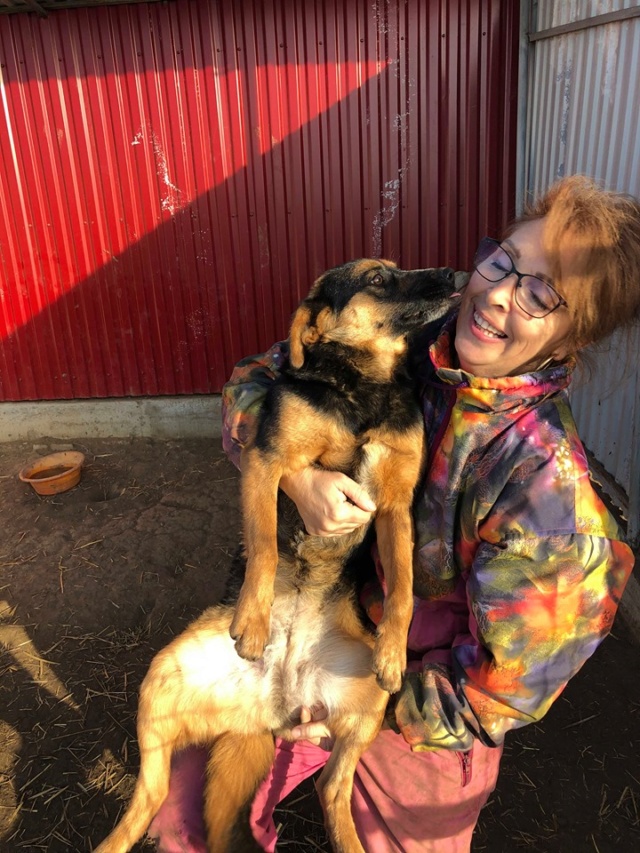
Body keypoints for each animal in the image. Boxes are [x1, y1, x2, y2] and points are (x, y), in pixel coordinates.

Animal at [94, 258, 456, 852]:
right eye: (379, 278)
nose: (452, 273)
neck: (366, 388)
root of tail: (271, 705)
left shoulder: (395, 507)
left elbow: (402, 589)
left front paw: (393, 650)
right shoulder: (267, 462)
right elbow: (263, 547)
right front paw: (254, 622)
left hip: (368, 707)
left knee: (332, 787)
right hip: (160, 682)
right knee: (148, 795)